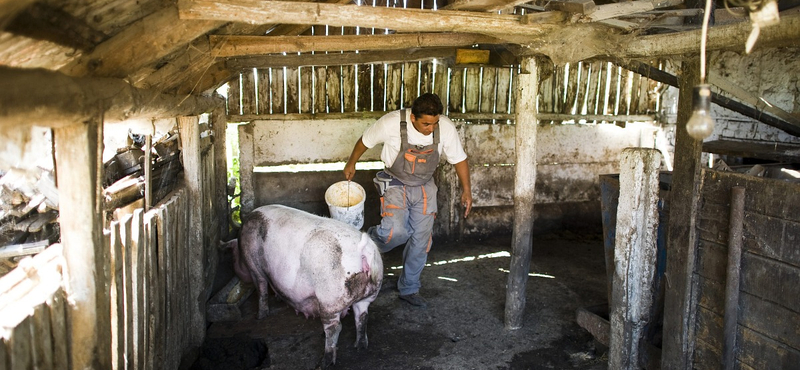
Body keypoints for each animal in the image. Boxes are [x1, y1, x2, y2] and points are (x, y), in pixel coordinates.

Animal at [228, 204, 384, 368]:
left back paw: (324, 363)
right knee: (362, 316)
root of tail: (363, 248)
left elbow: (262, 289)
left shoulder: (254, 268)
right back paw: (360, 346)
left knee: (334, 328)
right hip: (369, 293)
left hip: (330, 298)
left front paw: (260, 316)